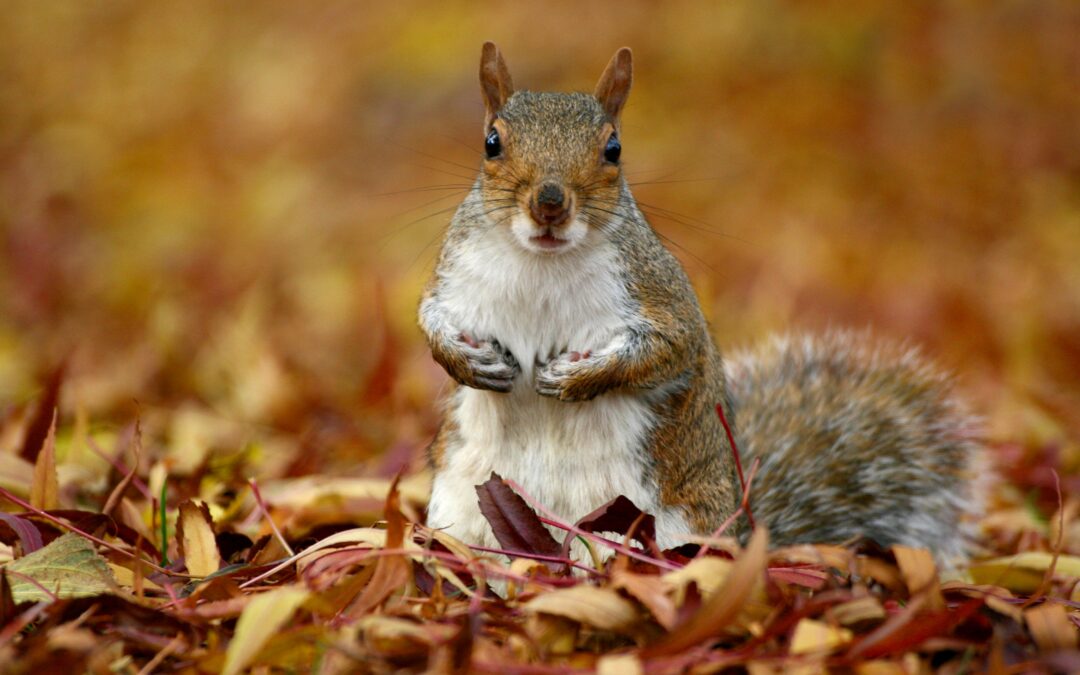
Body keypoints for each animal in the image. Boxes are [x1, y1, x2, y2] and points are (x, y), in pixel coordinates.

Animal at [419, 43, 986, 565]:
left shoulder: (660, 295)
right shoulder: (454, 280)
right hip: (460, 511)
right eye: (492, 142)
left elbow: (669, 349)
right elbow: (431, 321)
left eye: (613, 148)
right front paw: (464, 360)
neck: (541, 262)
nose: (550, 203)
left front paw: (577, 378)